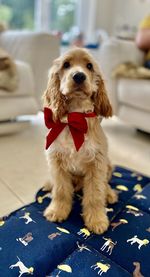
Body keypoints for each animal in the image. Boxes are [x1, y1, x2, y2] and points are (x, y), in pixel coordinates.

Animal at [42, 47, 118, 233]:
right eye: (66, 65)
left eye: (89, 66)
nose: (78, 76)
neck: (75, 118)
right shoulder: (57, 162)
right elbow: (61, 191)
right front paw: (57, 211)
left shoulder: (97, 163)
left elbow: (95, 195)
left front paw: (97, 220)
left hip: (108, 165)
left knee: (105, 184)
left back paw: (110, 194)